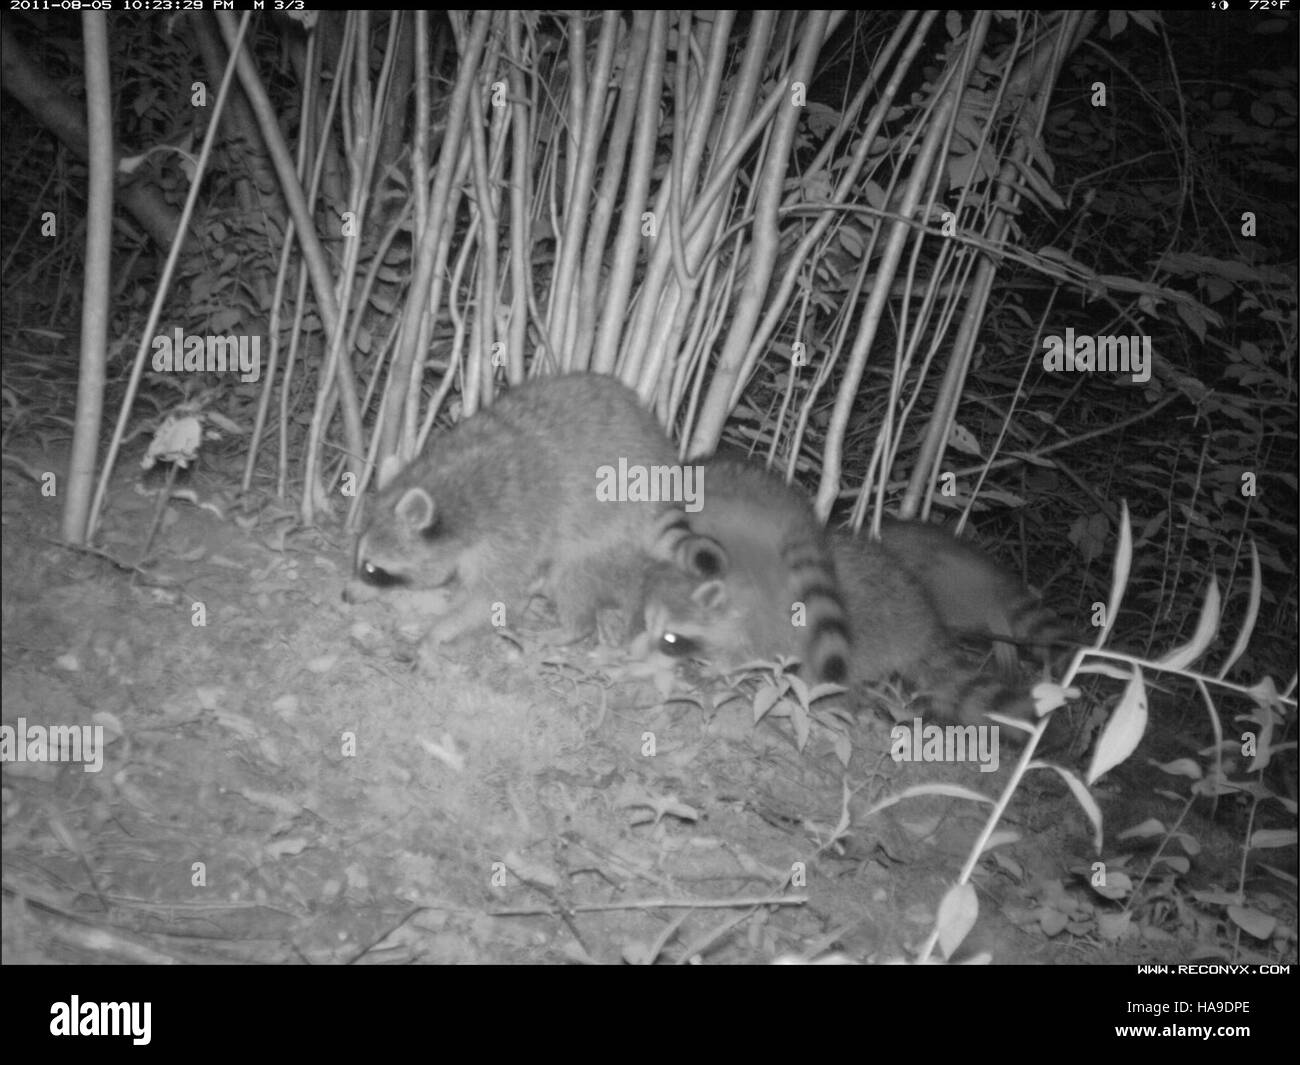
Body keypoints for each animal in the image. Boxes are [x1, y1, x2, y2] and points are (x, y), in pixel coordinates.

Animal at [347, 373, 680, 646]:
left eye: (372, 569)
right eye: (360, 559)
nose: (345, 595)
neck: (451, 487)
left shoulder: (513, 530)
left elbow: (494, 595)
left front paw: (439, 630)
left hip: (616, 528)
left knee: (572, 570)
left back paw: (572, 627)